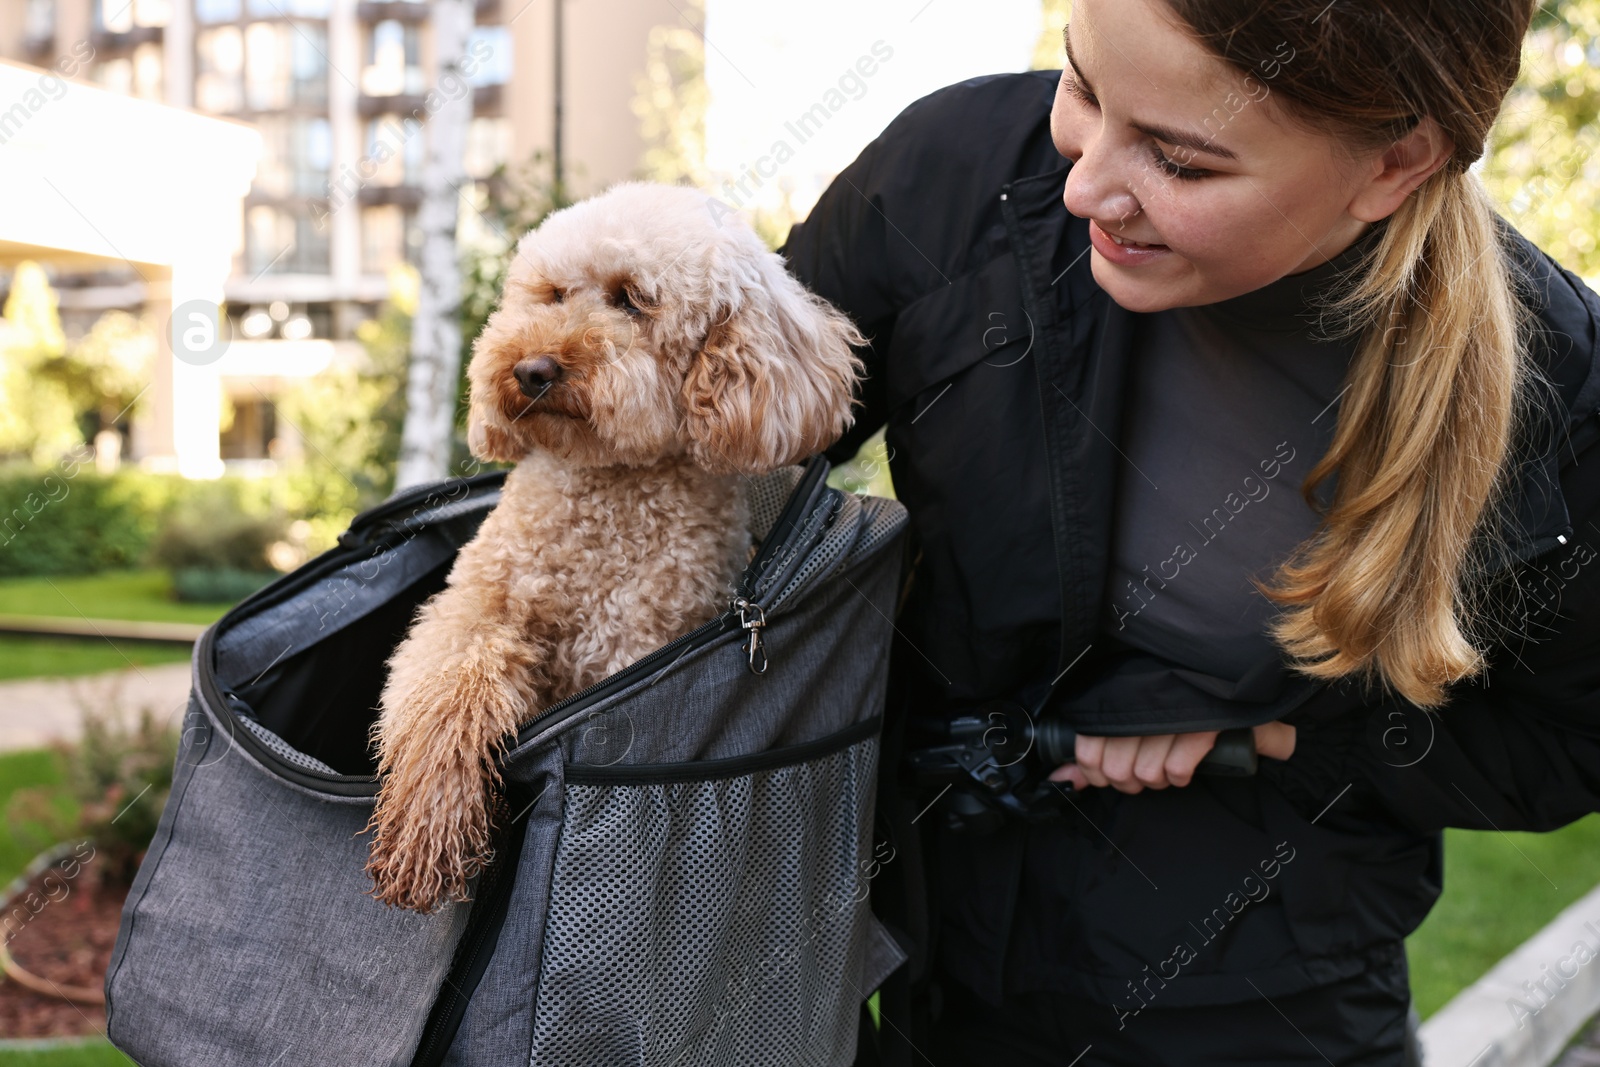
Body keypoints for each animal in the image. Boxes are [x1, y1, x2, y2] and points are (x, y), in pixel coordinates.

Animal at [366, 181, 864, 908]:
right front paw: (428, 822)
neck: (605, 492)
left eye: (631, 298)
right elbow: (447, 690)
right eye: (551, 294)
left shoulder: (631, 649)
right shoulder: (475, 609)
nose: (531, 369)